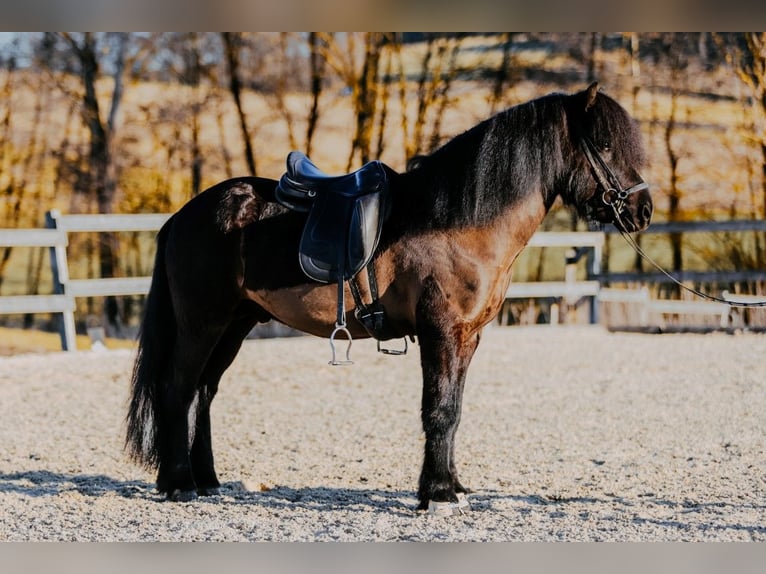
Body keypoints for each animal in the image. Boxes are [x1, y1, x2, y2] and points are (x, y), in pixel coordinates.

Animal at [126, 82, 653, 510]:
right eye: (605, 143)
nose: (644, 210)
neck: (458, 222)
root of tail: (185, 215)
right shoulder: (441, 330)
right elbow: (438, 409)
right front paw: (437, 495)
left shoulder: (468, 336)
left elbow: (454, 410)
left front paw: (451, 487)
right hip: (203, 323)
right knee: (177, 388)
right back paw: (179, 484)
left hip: (235, 324)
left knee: (203, 393)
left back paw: (207, 480)